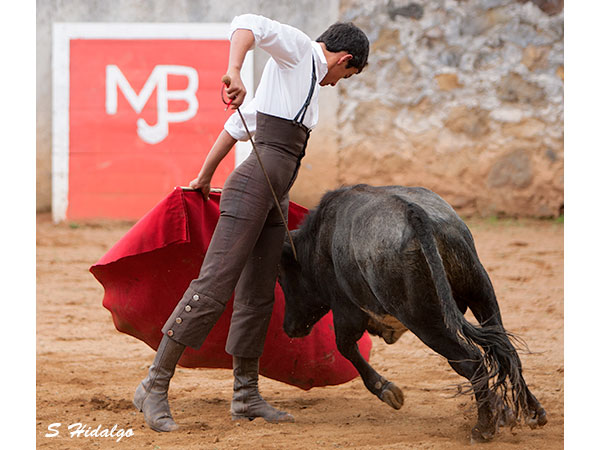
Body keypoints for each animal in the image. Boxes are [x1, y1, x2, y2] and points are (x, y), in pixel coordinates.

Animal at [278, 185, 548, 442]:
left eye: (283, 278)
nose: (288, 327)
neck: (320, 240)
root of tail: (416, 215)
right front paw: (503, 411)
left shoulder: (346, 308)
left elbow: (345, 346)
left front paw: (387, 391)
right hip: (481, 292)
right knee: (505, 349)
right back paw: (533, 413)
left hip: (424, 320)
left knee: (470, 360)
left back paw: (483, 429)